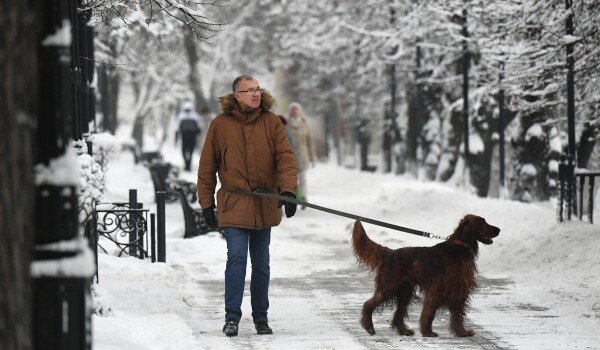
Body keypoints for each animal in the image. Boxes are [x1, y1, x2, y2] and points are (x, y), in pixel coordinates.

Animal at [354, 213, 500, 336]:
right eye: (483, 222)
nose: (498, 229)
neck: (459, 247)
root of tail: (390, 253)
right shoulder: (437, 288)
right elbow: (430, 312)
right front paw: (427, 332)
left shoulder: (459, 289)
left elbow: (458, 314)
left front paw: (461, 332)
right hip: (389, 286)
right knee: (368, 304)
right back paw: (369, 327)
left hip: (405, 291)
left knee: (399, 313)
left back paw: (404, 330)